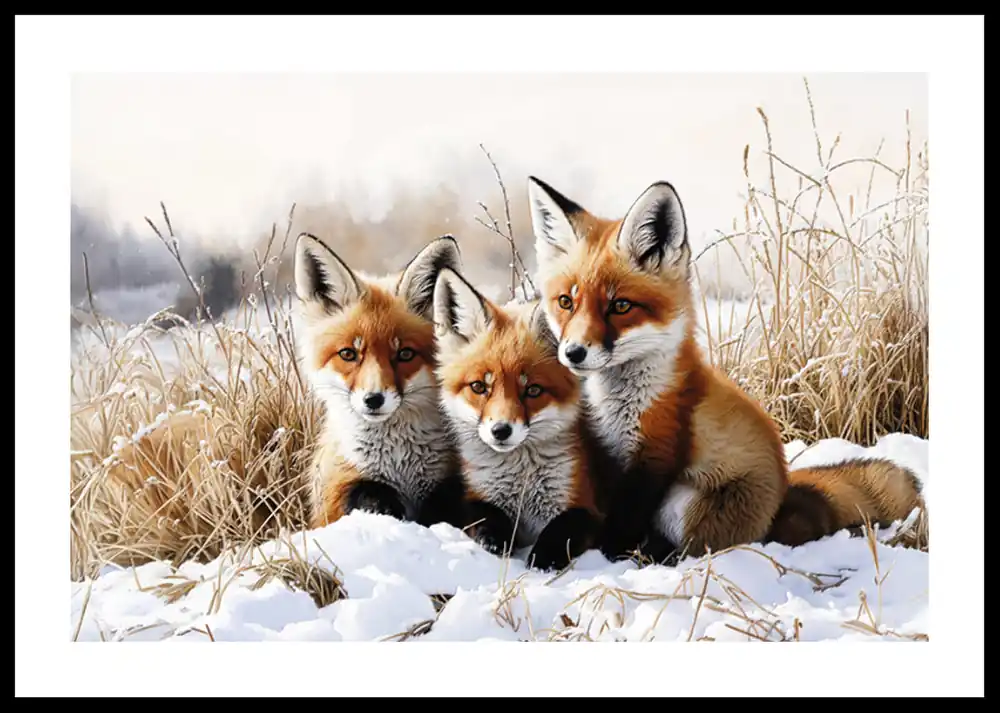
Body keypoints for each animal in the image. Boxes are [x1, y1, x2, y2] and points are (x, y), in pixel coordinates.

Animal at [294, 232, 467, 531]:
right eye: (348, 354)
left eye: (405, 354)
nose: (374, 400)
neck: (399, 463)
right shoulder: (336, 489)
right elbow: (366, 495)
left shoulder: (450, 480)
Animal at [431, 267, 613, 571]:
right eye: (479, 387)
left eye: (533, 390)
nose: (501, 430)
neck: (521, 488)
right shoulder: (477, 495)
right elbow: (485, 517)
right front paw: (493, 541)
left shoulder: (585, 503)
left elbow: (561, 528)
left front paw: (543, 558)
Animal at [525, 175, 926, 560]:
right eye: (566, 302)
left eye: (620, 306)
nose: (574, 353)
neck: (615, 403)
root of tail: (781, 503)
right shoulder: (603, 454)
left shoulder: (656, 453)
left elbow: (627, 519)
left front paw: (610, 554)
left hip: (686, 500)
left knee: (694, 544)